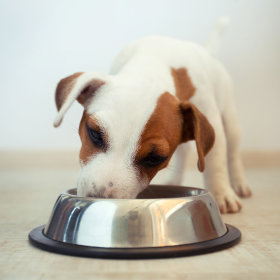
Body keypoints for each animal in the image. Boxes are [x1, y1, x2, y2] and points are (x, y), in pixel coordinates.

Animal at [53, 19, 252, 212]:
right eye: (95, 134)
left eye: (155, 158)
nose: (99, 198)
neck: (151, 64)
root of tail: (207, 50)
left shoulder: (212, 119)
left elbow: (215, 162)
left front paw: (221, 193)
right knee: (184, 151)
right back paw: (174, 181)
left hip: (230, 120)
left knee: (232, 153)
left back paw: (239, 184)